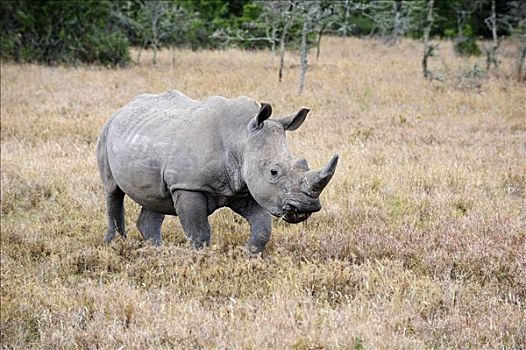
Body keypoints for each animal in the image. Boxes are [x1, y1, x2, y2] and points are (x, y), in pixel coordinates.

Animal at [97, 90, 340, 253]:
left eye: (304, 165)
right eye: (274, 172)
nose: (305, 207)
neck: (241, 136)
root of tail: (122, 109)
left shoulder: (243, 184)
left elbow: (263, 227)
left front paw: (249, 256)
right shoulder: (189, 185)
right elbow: (199, 233)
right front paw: (201, 259)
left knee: (155, 198)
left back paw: (157, 251)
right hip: (107, 131)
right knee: (112, 190)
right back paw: (115, 243)